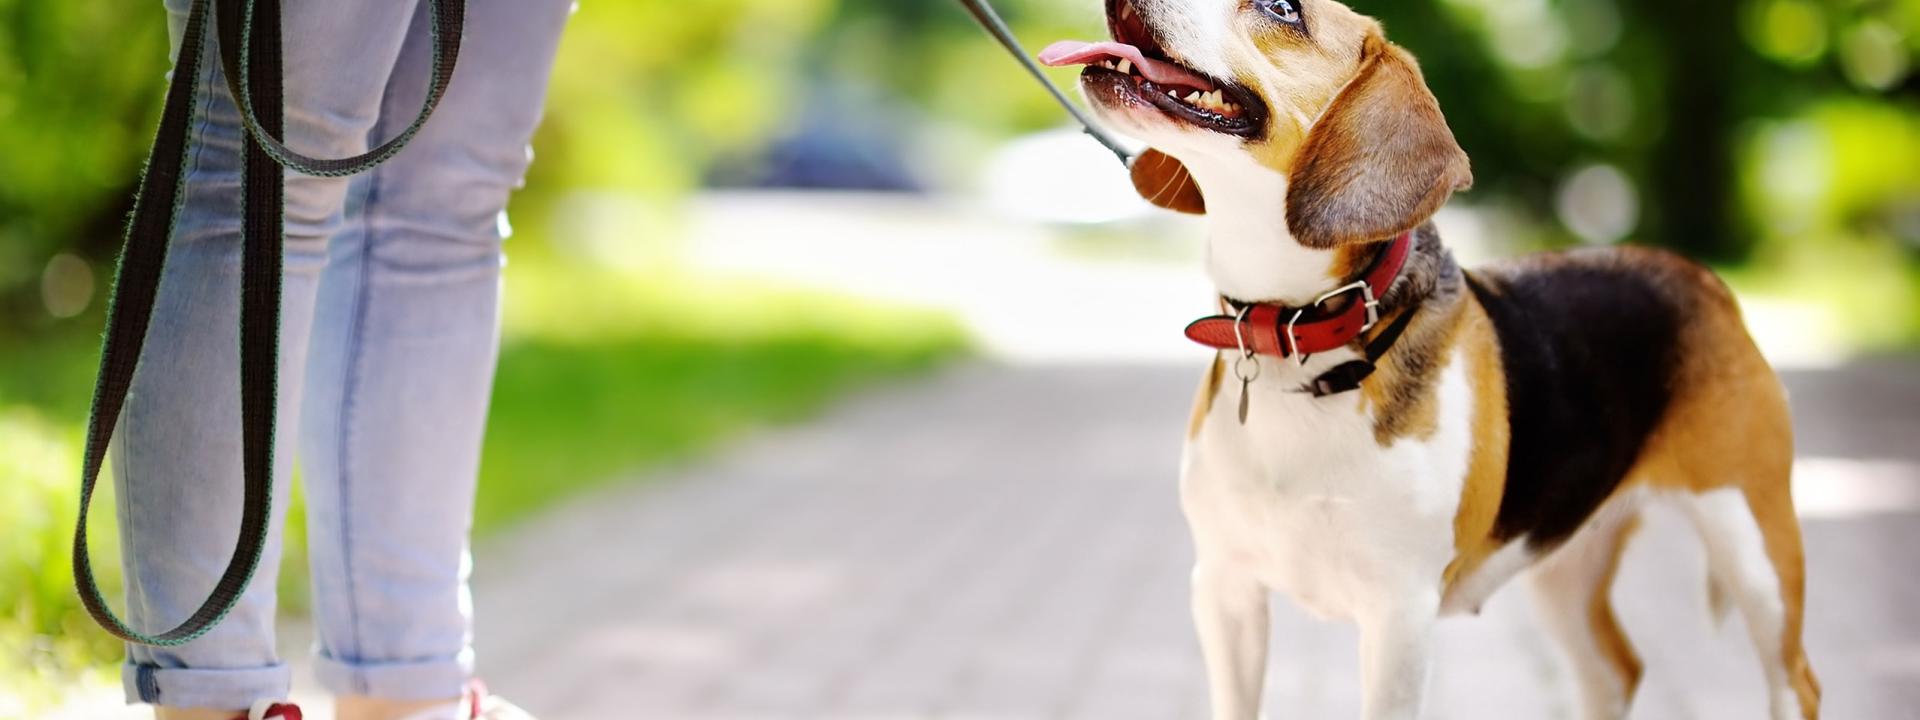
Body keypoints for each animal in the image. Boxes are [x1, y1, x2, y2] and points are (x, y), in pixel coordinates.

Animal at [1044, 1, 1820, 720]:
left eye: (1282, 8)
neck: (1300, 334)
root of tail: (1700, 276)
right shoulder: (1225, 590)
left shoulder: (1398, 617)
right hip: (1562, 562)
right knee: (1615, 671)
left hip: (1755, 548)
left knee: (1796, 680)